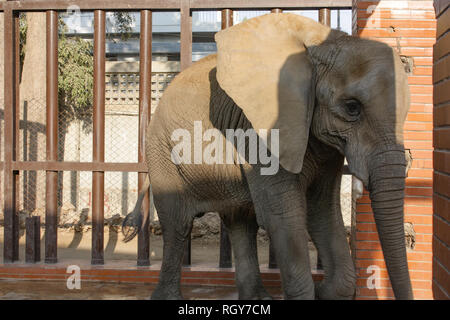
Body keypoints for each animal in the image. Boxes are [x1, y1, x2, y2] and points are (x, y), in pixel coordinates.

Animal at [121, 13, 414, 300]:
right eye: (352, 108)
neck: (321, 45)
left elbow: (322, 210)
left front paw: (325, 291)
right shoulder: (261, 134)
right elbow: (283, 217)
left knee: (241, 222)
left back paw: (257, 298)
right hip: (161, 150)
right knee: (178, 225)